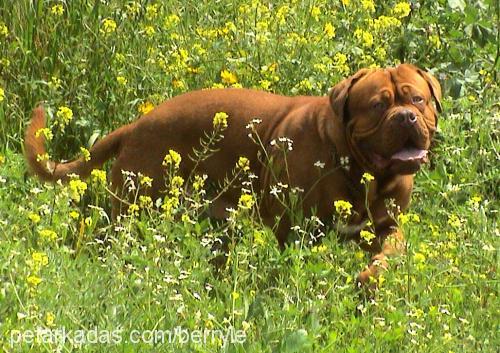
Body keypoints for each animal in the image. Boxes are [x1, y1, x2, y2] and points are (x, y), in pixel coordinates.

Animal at [25, 63, 444, 286]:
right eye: (378, 105)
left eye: (417, 99)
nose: (406, 117)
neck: (358, 169)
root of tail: (135, 126)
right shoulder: (295, 229)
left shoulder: (386, 226)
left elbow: (389, 253)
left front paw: (370, 281)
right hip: (136, 212)